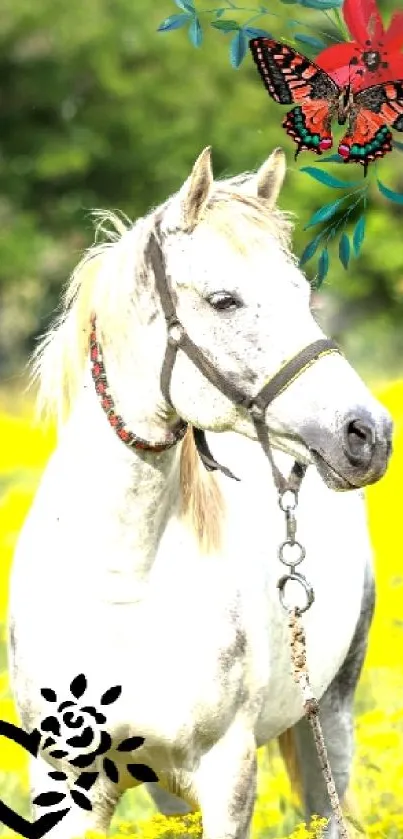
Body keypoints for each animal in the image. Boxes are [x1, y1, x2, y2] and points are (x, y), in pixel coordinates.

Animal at [7, 148, 392, 836]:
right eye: (224, 300)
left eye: (303, 295)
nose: (367, 433)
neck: (122, 587)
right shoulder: (65, 779)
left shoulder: (226, 776)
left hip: (332, 723)